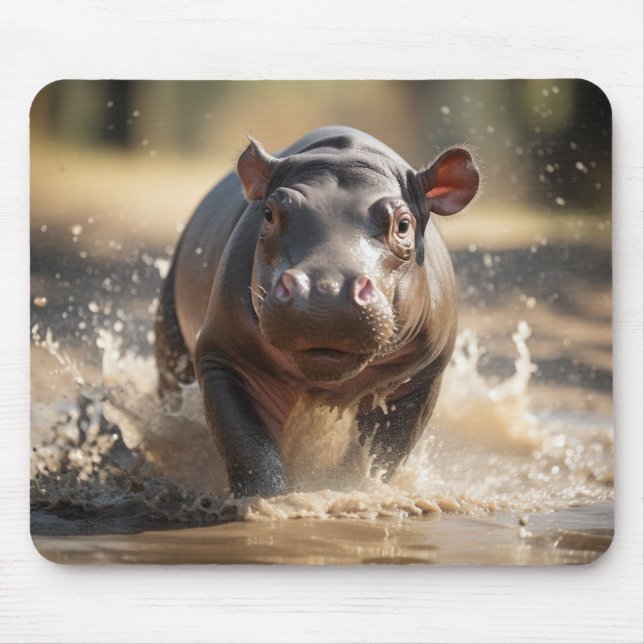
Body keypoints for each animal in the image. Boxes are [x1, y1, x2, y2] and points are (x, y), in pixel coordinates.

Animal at [154, 126, 479, 497]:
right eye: (268, 213)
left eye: (403, 224)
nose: (325, 289)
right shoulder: (223, 355)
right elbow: (249, 448)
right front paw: (265, 501)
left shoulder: (421, 376)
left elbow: (383, 455)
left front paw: (353, 489)